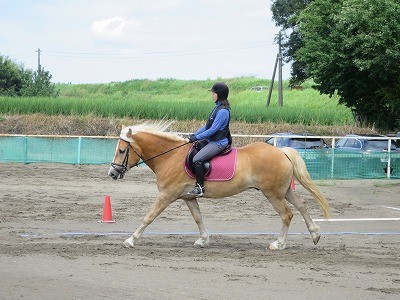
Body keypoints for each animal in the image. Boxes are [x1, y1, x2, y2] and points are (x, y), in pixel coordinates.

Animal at [108, 120, 330, 250]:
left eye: (121, 150)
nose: (112, 173)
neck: (170, 156)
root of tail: (281, 151)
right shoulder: (188, 197)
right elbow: (198, 218)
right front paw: (204, 239)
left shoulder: (167, 195)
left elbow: (149, 216)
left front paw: (131, 240)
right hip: (283, 190)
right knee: (301, 206)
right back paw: (315, 234)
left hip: (273, 193)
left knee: (287, 214)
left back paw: (279, 243)